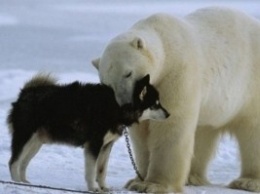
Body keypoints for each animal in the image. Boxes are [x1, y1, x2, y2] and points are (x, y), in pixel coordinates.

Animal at [7, 73, 169, 192]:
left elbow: (102, 170)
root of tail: (25, 92)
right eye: (155, 104)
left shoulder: (106, 145)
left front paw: (104, 187)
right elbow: (91, 171)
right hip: (25, 138)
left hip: (36, 143)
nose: (169, 114)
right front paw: (94, 188)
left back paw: (25, 183)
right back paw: (17, 183)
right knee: (13, 162)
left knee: (23, 163)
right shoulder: (94, 144)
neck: (117, 105)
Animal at [92, 6, 260, 193]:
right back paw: (192, 177)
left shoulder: (176, 73)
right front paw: (136, 180)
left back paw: (247, 182)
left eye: (128, 73)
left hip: (250, 86)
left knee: (253, 131)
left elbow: (171, 124)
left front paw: (153, 184)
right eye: (106, 84)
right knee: (203, 131)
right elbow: (142, 133)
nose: (125, 106)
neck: (165, 42)